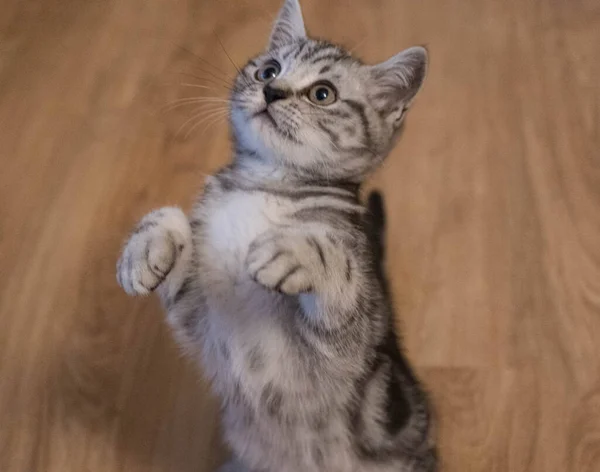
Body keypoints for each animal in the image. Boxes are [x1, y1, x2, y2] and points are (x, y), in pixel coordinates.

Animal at [116, 1, 436, 470]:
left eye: (323, 94)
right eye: (269, 70)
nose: (272, 92)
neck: (268, 183)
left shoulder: (344, 353)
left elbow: (336, 260)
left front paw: (293, 253)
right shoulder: (201, 322)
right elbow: (171, 216)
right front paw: (144, 247)